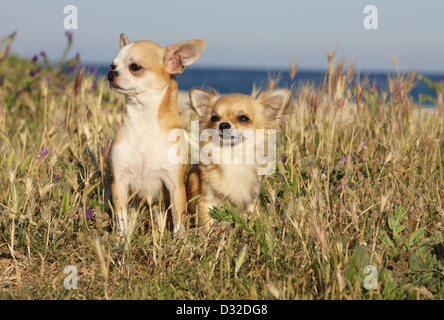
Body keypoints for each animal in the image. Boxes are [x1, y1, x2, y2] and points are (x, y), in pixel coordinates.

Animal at [107, 33, 205, 239]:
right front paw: (122, 240)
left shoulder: (175, 186)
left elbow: (177, 218)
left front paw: (180, 241)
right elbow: (122, 217)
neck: (144, 121)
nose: (110, 74)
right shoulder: (119, 182)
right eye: (112, 65)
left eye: (135, 67)